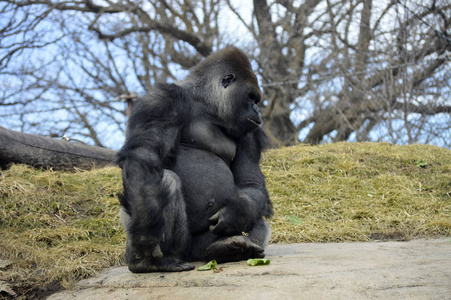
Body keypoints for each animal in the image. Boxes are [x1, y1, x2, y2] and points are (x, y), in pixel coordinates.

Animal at [115, 46, 274, 272]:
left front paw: (237, 212)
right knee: (165, 181)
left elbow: (250, 183)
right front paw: (147, 232)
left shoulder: (249, 132)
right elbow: (143, 154)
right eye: (251, 97)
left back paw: (227, 248)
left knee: (259, 222)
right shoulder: (164, 100)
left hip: (200, 248)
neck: (206, 103)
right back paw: (153, 262)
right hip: (174, 248)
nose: (257, 110)